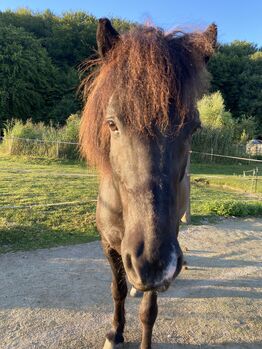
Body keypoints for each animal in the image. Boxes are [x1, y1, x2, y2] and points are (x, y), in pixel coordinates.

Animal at [80, 18, 217, 348]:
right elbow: (116, 289)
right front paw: (115, 333)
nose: (153, 263)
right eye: (112, 123)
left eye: (194, 127)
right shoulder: (108, 244)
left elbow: (149, 311)